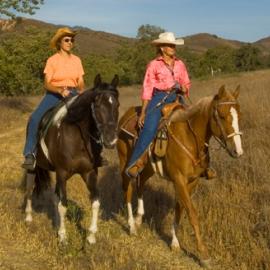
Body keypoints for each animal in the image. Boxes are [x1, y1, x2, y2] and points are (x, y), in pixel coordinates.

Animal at [24, 74, 119, 245]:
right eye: (97, 105)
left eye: (117, 105)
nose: (111, 139)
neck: (78, 139)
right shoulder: (62, 173)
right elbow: (63, 204)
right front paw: (63, 237)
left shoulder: (89, 173)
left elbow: (95, 201)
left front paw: (91, 236)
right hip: (33, 168)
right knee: (29, 189)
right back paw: (28, 218)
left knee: (55, 197)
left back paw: (56, 223)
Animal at [117, 85, 244, 266]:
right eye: (221, 115)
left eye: (239, 115)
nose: (237, 151)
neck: (190, 138)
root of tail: (125, 116)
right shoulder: (179, 179)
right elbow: (192, 213)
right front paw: (204, 254)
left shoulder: (191, 182)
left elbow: (180, 208)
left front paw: (175, 242)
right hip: (124, 163)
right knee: (127, 190)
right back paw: (132, 227)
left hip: (149, 168)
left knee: (141, 184)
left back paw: (139, 218)